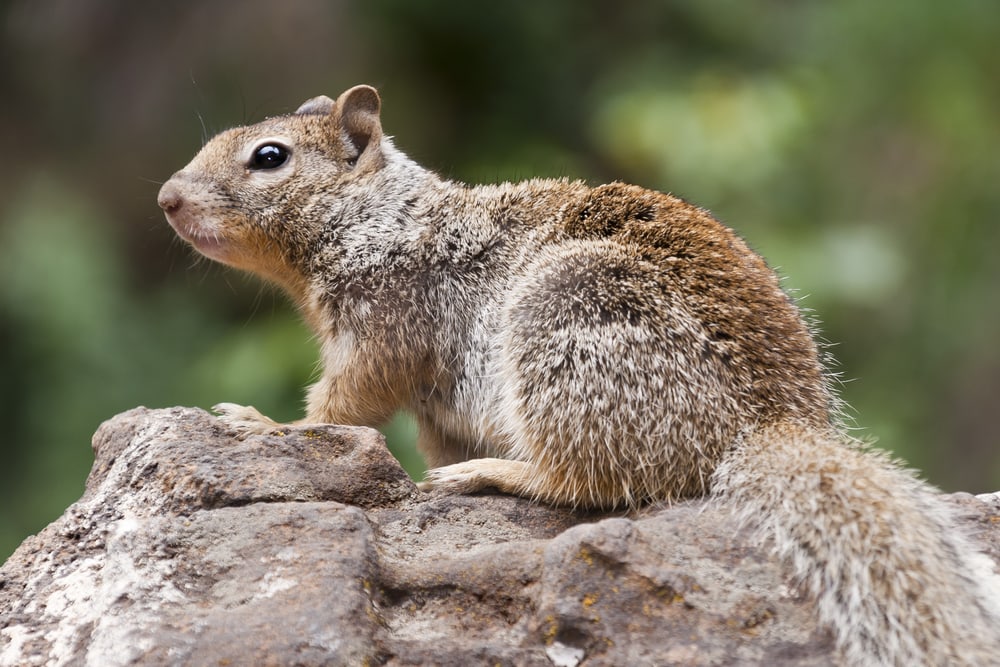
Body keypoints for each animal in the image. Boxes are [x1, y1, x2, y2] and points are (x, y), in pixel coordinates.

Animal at [158, 84, 1000, 665]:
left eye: (269, 156)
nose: (165, 197)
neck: (383, 216)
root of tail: (765, 423)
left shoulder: (385, 323)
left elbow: (341, 408)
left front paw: (265, 423)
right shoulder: (434, 411)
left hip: (563, 324)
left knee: (588, 482)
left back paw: (495, 474)